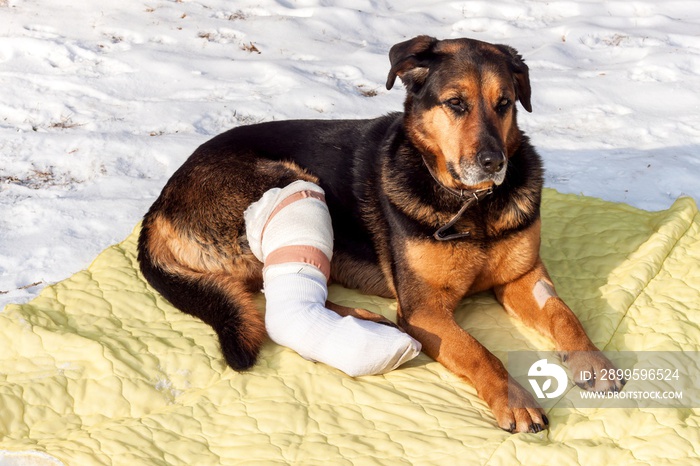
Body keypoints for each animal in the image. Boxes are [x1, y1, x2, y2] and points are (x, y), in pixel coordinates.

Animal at [138, 36, 624, 434]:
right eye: (456, 104)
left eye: (504, 103)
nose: (494, 163)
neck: (471, 205)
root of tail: (159, 203)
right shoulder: (425, 309)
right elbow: (478, 351)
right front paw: (515, 398)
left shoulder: (522, 277)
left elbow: (563, 314)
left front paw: (592, 358)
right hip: (289, 185)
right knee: (274, 298)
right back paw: (370, 322)